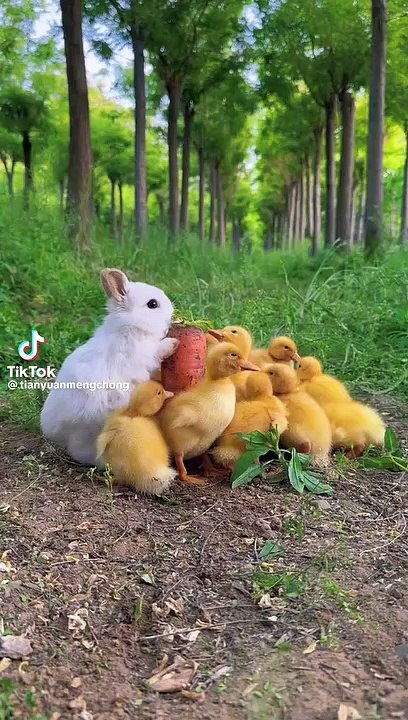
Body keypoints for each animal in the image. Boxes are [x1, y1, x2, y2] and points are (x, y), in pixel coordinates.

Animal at [40, 268, 177, 466]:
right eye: (152, 304)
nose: (171, 315)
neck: (131, 327)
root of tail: (55, 432)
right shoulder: (144, 357)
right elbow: (157, 352)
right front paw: (173, 343)